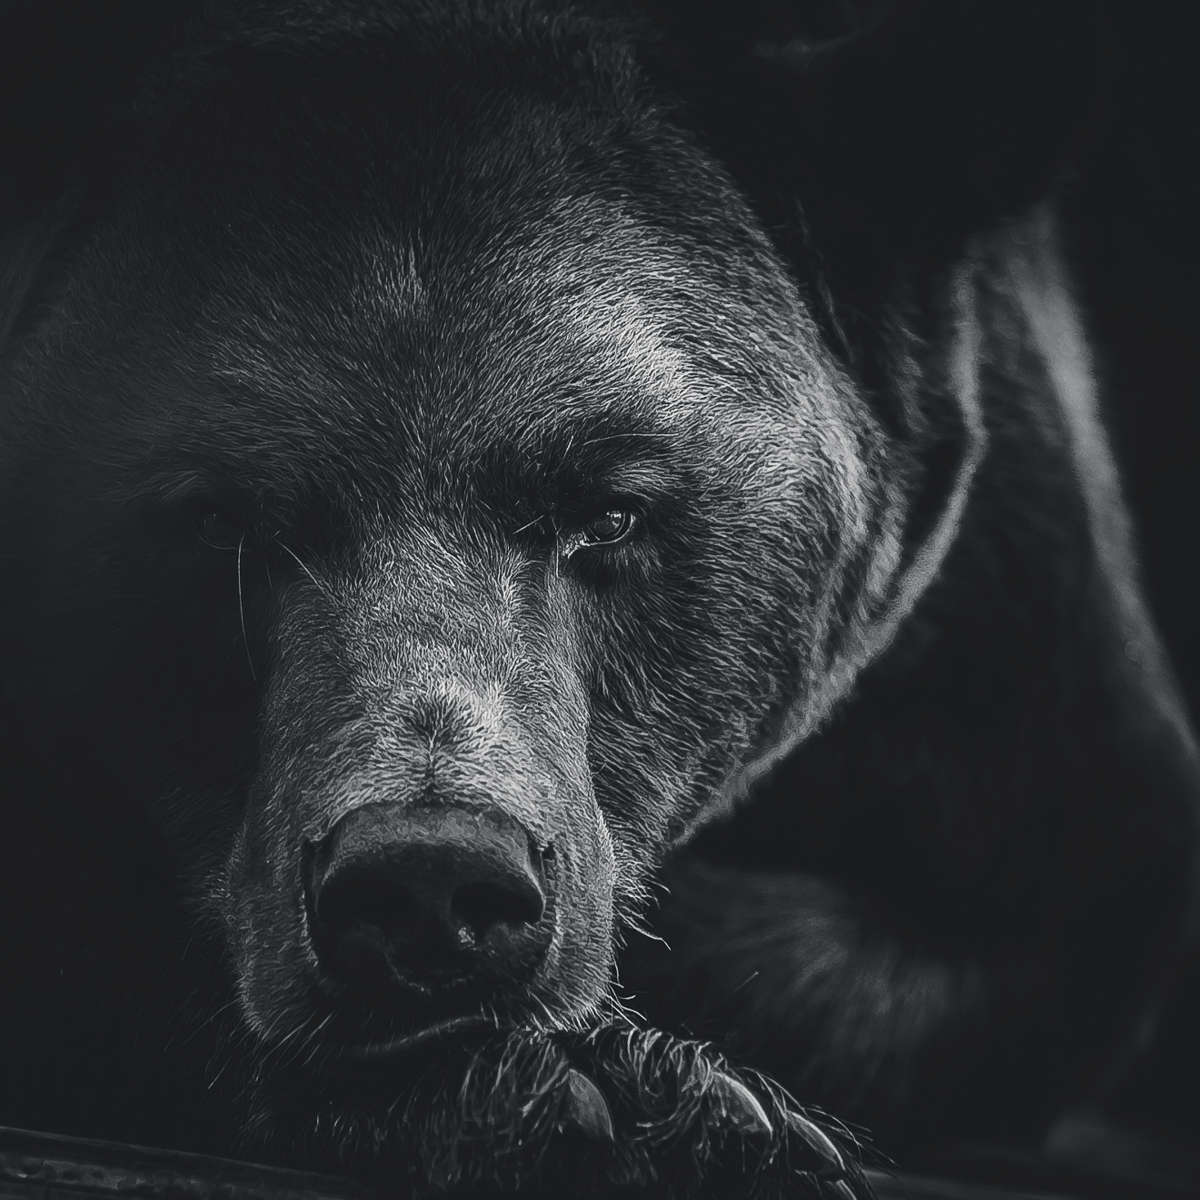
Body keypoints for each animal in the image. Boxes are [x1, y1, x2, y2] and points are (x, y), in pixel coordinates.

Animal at [0, 1, 1196, 1197]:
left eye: (610, 512)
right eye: (217, 523)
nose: (430, 878)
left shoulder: (1017, 669)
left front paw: (688, 1101)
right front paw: (593, 1094)